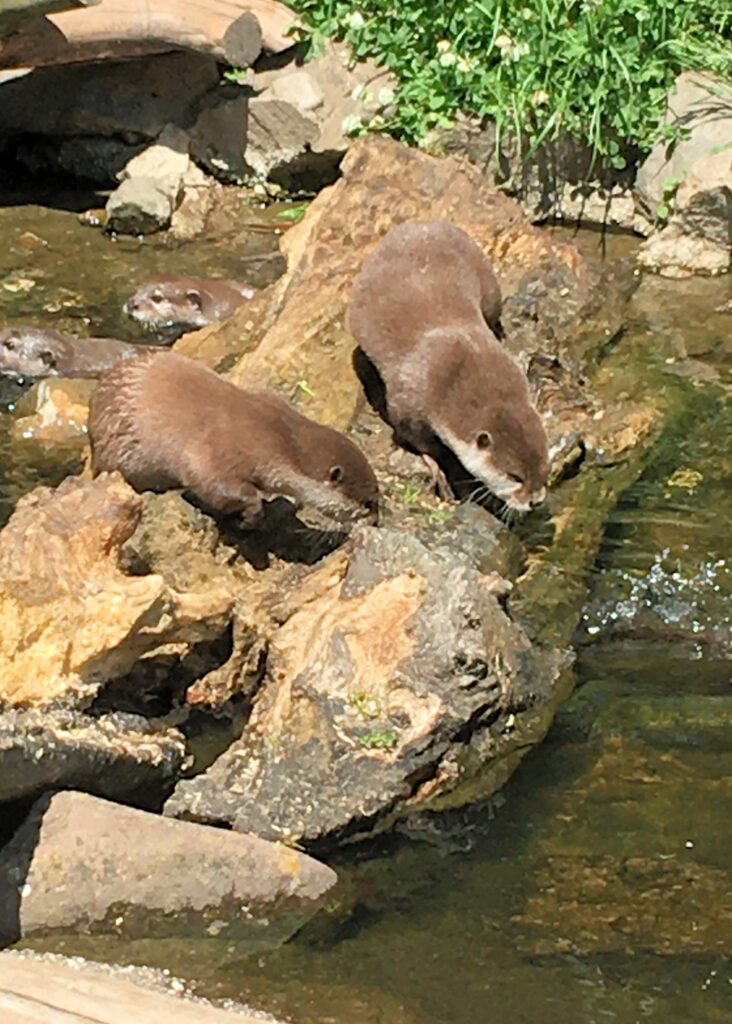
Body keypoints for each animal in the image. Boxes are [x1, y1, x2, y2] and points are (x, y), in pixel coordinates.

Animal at [88, 350, 380, 528]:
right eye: (368, 503)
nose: (376, 521)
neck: (278, 433)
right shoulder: (222, 449)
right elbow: (210, 481)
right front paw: (249, 517)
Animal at [348, 220, 548, 512]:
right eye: (514, 477)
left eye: (544, 469)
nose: (535, 502)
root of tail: (420, 224)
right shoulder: (407, 405)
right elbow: (417, 440)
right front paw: (439, 471)